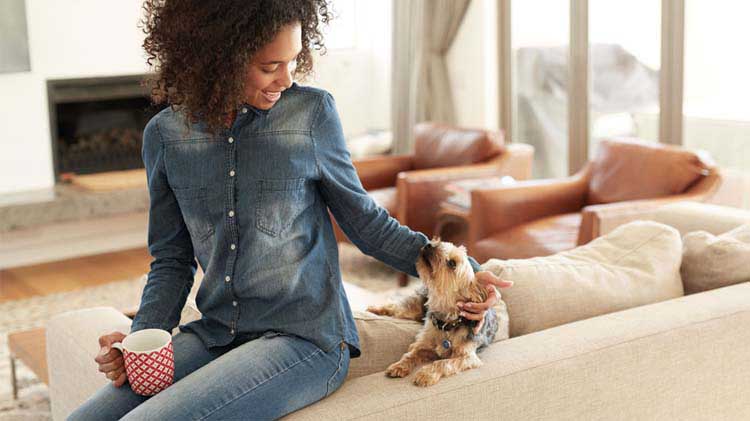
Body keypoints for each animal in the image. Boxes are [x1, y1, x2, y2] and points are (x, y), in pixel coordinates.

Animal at [366, 238, 500, 386]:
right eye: (442, 243)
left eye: (452, 263)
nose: (429, 244)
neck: (447, 322)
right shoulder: (422, 344)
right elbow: (410, 354)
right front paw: (399, 365)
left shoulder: (467, 357)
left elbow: (443, 363)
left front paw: (426, 374)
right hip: (413, 309)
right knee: (395, 307)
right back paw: (374, 309)